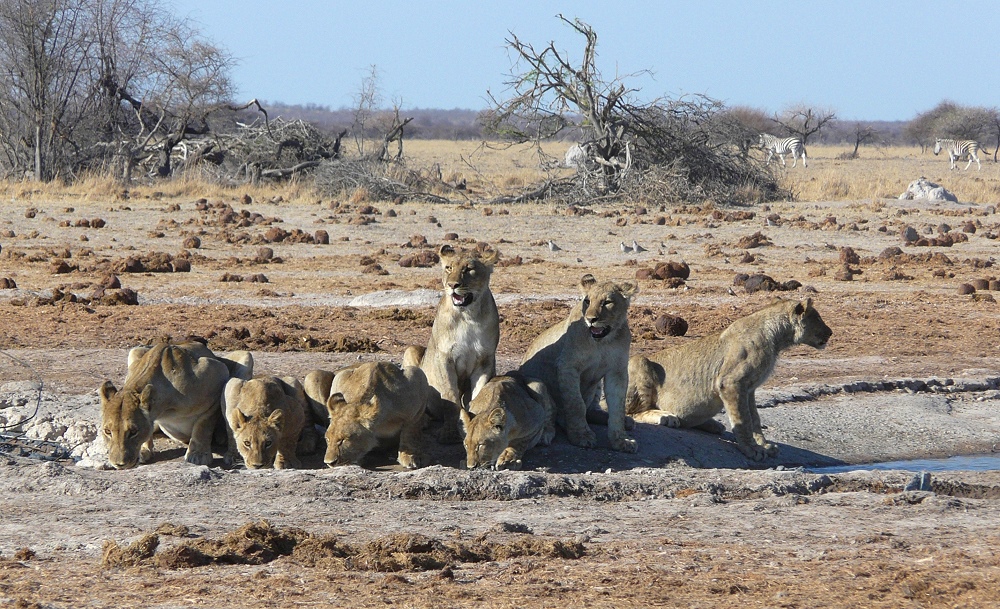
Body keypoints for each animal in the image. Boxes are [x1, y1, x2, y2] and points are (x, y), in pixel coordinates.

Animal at [628, 296, 832, 458]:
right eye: (818, 318)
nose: (830, 332)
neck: (777, 338)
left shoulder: (749, 388)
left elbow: (754, 419)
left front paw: (764, 445)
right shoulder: (731, 382)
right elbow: (743, 420)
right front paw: (752, 450)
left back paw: (710, 424)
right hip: (639, 361)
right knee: (632, 413)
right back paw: (665, 416)